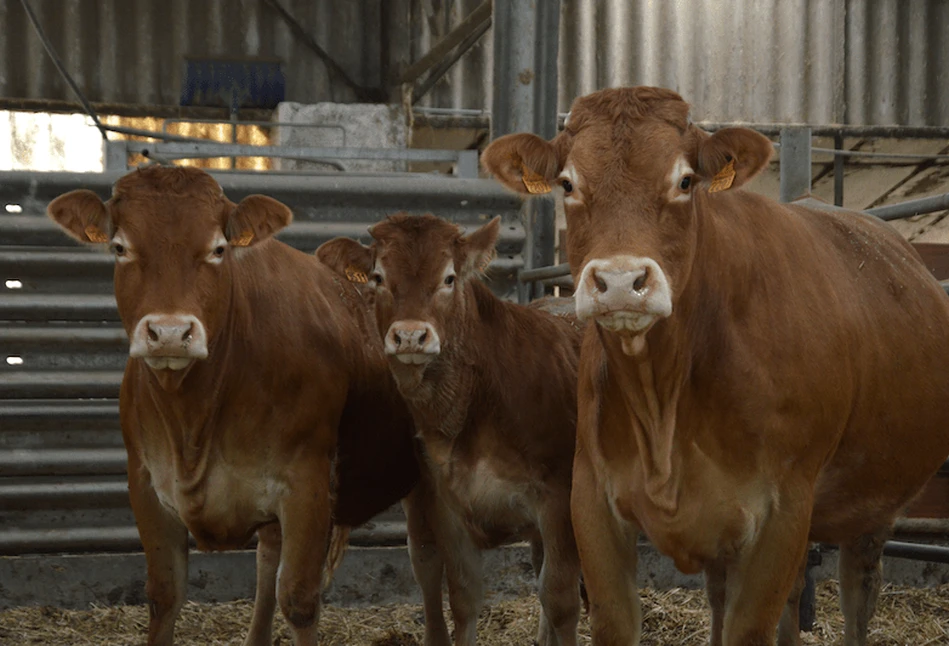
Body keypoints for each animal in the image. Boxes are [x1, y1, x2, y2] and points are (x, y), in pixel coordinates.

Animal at [46, 167, 424, 646]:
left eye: (218, 249)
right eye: (120, 247)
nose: (170, 333)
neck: (194, 418)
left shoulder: (306, 486)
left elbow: (299, 600)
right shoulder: (145, 484)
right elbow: (165, 595)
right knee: (268, 561)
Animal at [318, 216, 584, 646]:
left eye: (449, 278)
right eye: (378, 276)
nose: (410, 335)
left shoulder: (559, 498)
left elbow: (560, 597)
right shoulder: (446, 502)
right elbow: (463, 595)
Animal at [482, 87, 948, 646]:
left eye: (685, 181)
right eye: (569, 183)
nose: (620, 282)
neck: (663, 401)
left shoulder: (782, 512)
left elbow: (749, 627)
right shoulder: (591, 502)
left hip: (870, 505)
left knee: (858, 589)